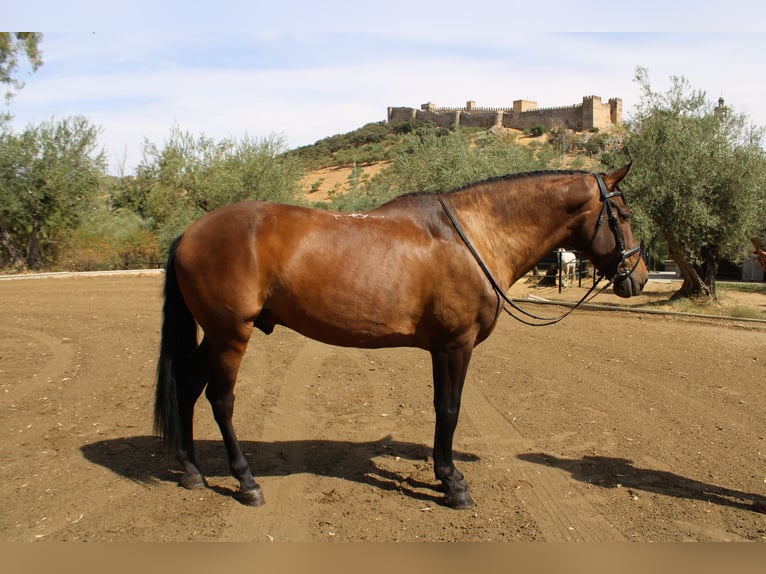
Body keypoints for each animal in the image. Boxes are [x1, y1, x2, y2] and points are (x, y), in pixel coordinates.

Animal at [154, 163, 648, 510]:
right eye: (622, 214)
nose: (639, 277)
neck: (471, 237)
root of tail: (190, 233)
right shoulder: (455, 344)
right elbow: (449, 410)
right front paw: (453, 483)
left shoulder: (441, 348)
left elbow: (441, 408)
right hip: (230, 334)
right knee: (220, 399)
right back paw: (246, 481)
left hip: (215, 334)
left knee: (187, 387)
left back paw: (191, 471)